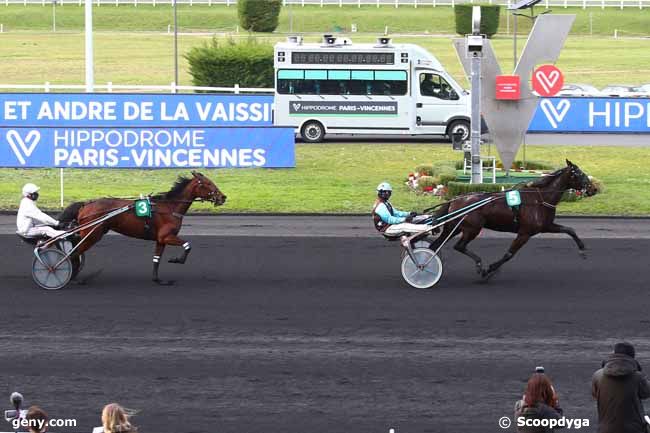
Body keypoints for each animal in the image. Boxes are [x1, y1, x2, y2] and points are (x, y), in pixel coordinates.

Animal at [60, 170, 227, 286]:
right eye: (208, 183)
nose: (223, 197)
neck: (169, 207)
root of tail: (85, 204)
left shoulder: (161, 240)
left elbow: (156, 259)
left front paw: (158, 279)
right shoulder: (167, 236)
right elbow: (187, 245)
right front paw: (177, 260)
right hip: (93, 234)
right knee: (74, 252)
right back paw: (71, 276)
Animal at [428, 160, 596, 278]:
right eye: (580, 174)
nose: (594, 189)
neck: (540, 199)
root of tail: (455, 199)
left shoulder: (546, 226)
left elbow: (570, 229)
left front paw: (582, 249)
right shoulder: (524, 233)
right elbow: (509, 254)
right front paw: (489, 270)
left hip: (454, 227)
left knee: (435, 245)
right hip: (472, 229)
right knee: (459, 246)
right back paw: (478, 264)